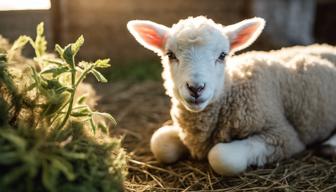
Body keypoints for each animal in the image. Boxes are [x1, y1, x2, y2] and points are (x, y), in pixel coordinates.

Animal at [126, 16, 336, 176]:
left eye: (222, 55)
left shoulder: (283, 136)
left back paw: (329, 146)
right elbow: (159, 143)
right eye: (170, 55)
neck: (232, 87)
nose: (196, 88)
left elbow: (220, 157)